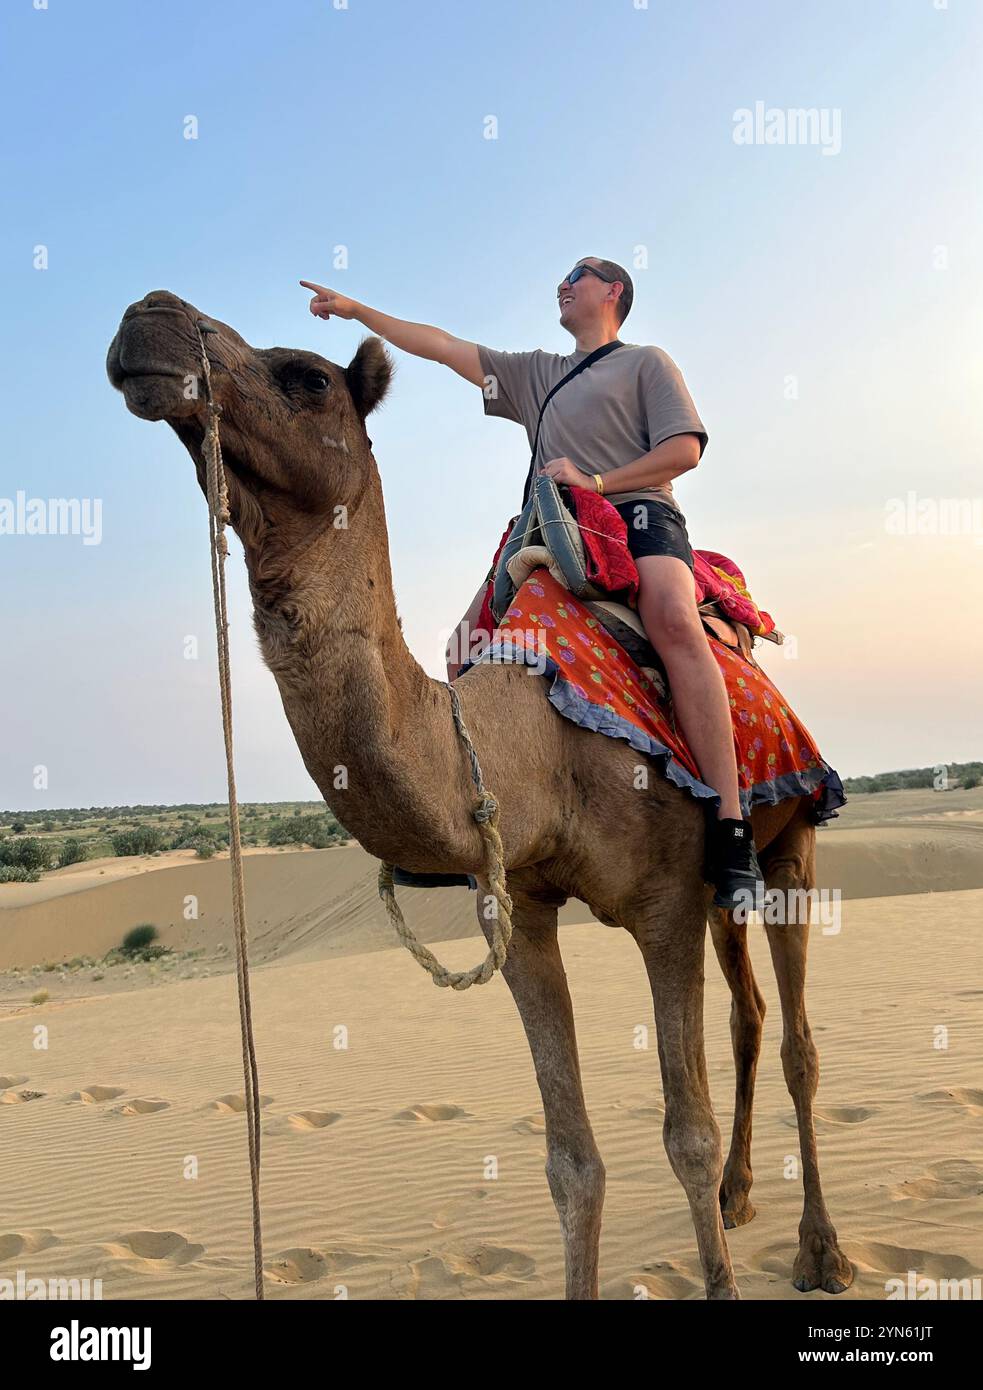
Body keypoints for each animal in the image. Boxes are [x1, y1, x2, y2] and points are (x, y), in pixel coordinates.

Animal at [103, 293, 850, 1301]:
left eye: (306, 376)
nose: (149, 317)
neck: (539, 749)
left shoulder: (660, 906)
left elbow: (681, 1136)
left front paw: (726, 1269)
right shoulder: (523, 911)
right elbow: (570, 1162)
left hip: (787, 836)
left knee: (797, 1041)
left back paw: (819, 1250)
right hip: (714, 893)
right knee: (749, 1018)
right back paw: (740, 1196)